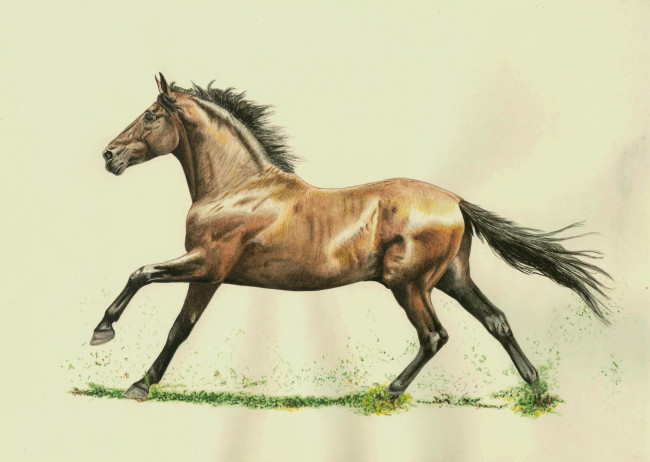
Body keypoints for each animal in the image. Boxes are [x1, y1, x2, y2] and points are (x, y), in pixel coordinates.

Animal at [92, 74, 610, 400]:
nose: (108, 155)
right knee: (496, 320)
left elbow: (156, 295)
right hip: (451, 278)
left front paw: (118, 352)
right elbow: (169, 311)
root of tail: (456, 201)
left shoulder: (209, 267)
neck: (238, 188)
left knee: (434, 336)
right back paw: (534, 383)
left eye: (151, 115)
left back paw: (391, 390)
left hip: (409, 284)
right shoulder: (208, 271)